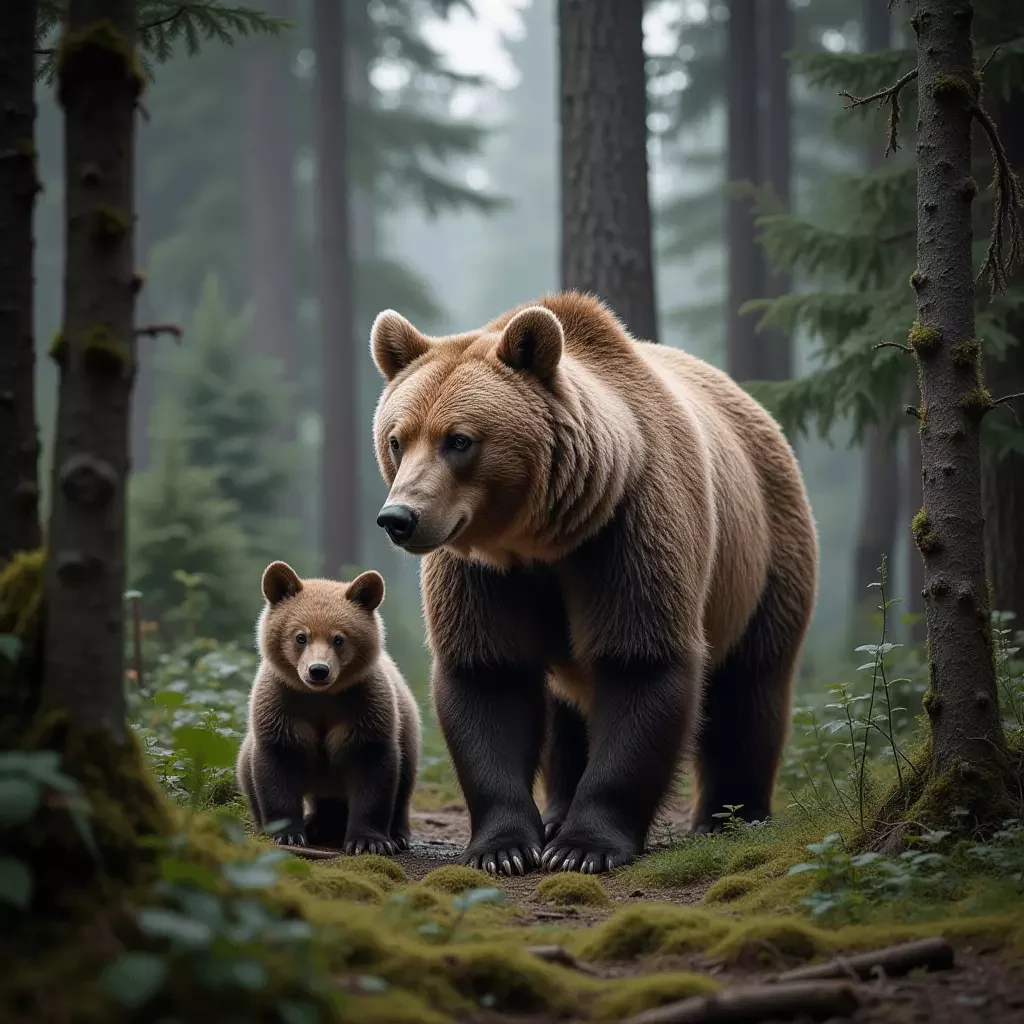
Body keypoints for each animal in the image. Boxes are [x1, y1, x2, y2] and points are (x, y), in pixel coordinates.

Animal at [236, 560, 421, 854]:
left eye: (339, 639)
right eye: (301, 637)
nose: (318, 670)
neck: (321, 697)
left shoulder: (364, 707)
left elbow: (373, 770)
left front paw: (368, 841)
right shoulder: (282, 704)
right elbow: (276, 767)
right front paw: (287, 834)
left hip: (408, 729)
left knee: (405, 781)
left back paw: (397, 835)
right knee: (245, 769)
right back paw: (313, 824)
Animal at [369, 291, 817, 875]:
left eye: (459, 440)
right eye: (398, 439)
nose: (400, 517)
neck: (543, 540)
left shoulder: (628, 530)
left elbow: (640, 663)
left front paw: (585, 847)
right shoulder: (484, 574)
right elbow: (489, 675)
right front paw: (506, 847)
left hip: (764, 555)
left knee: (751, 686)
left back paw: (730, 815)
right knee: (567, 708)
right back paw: (557, 810)